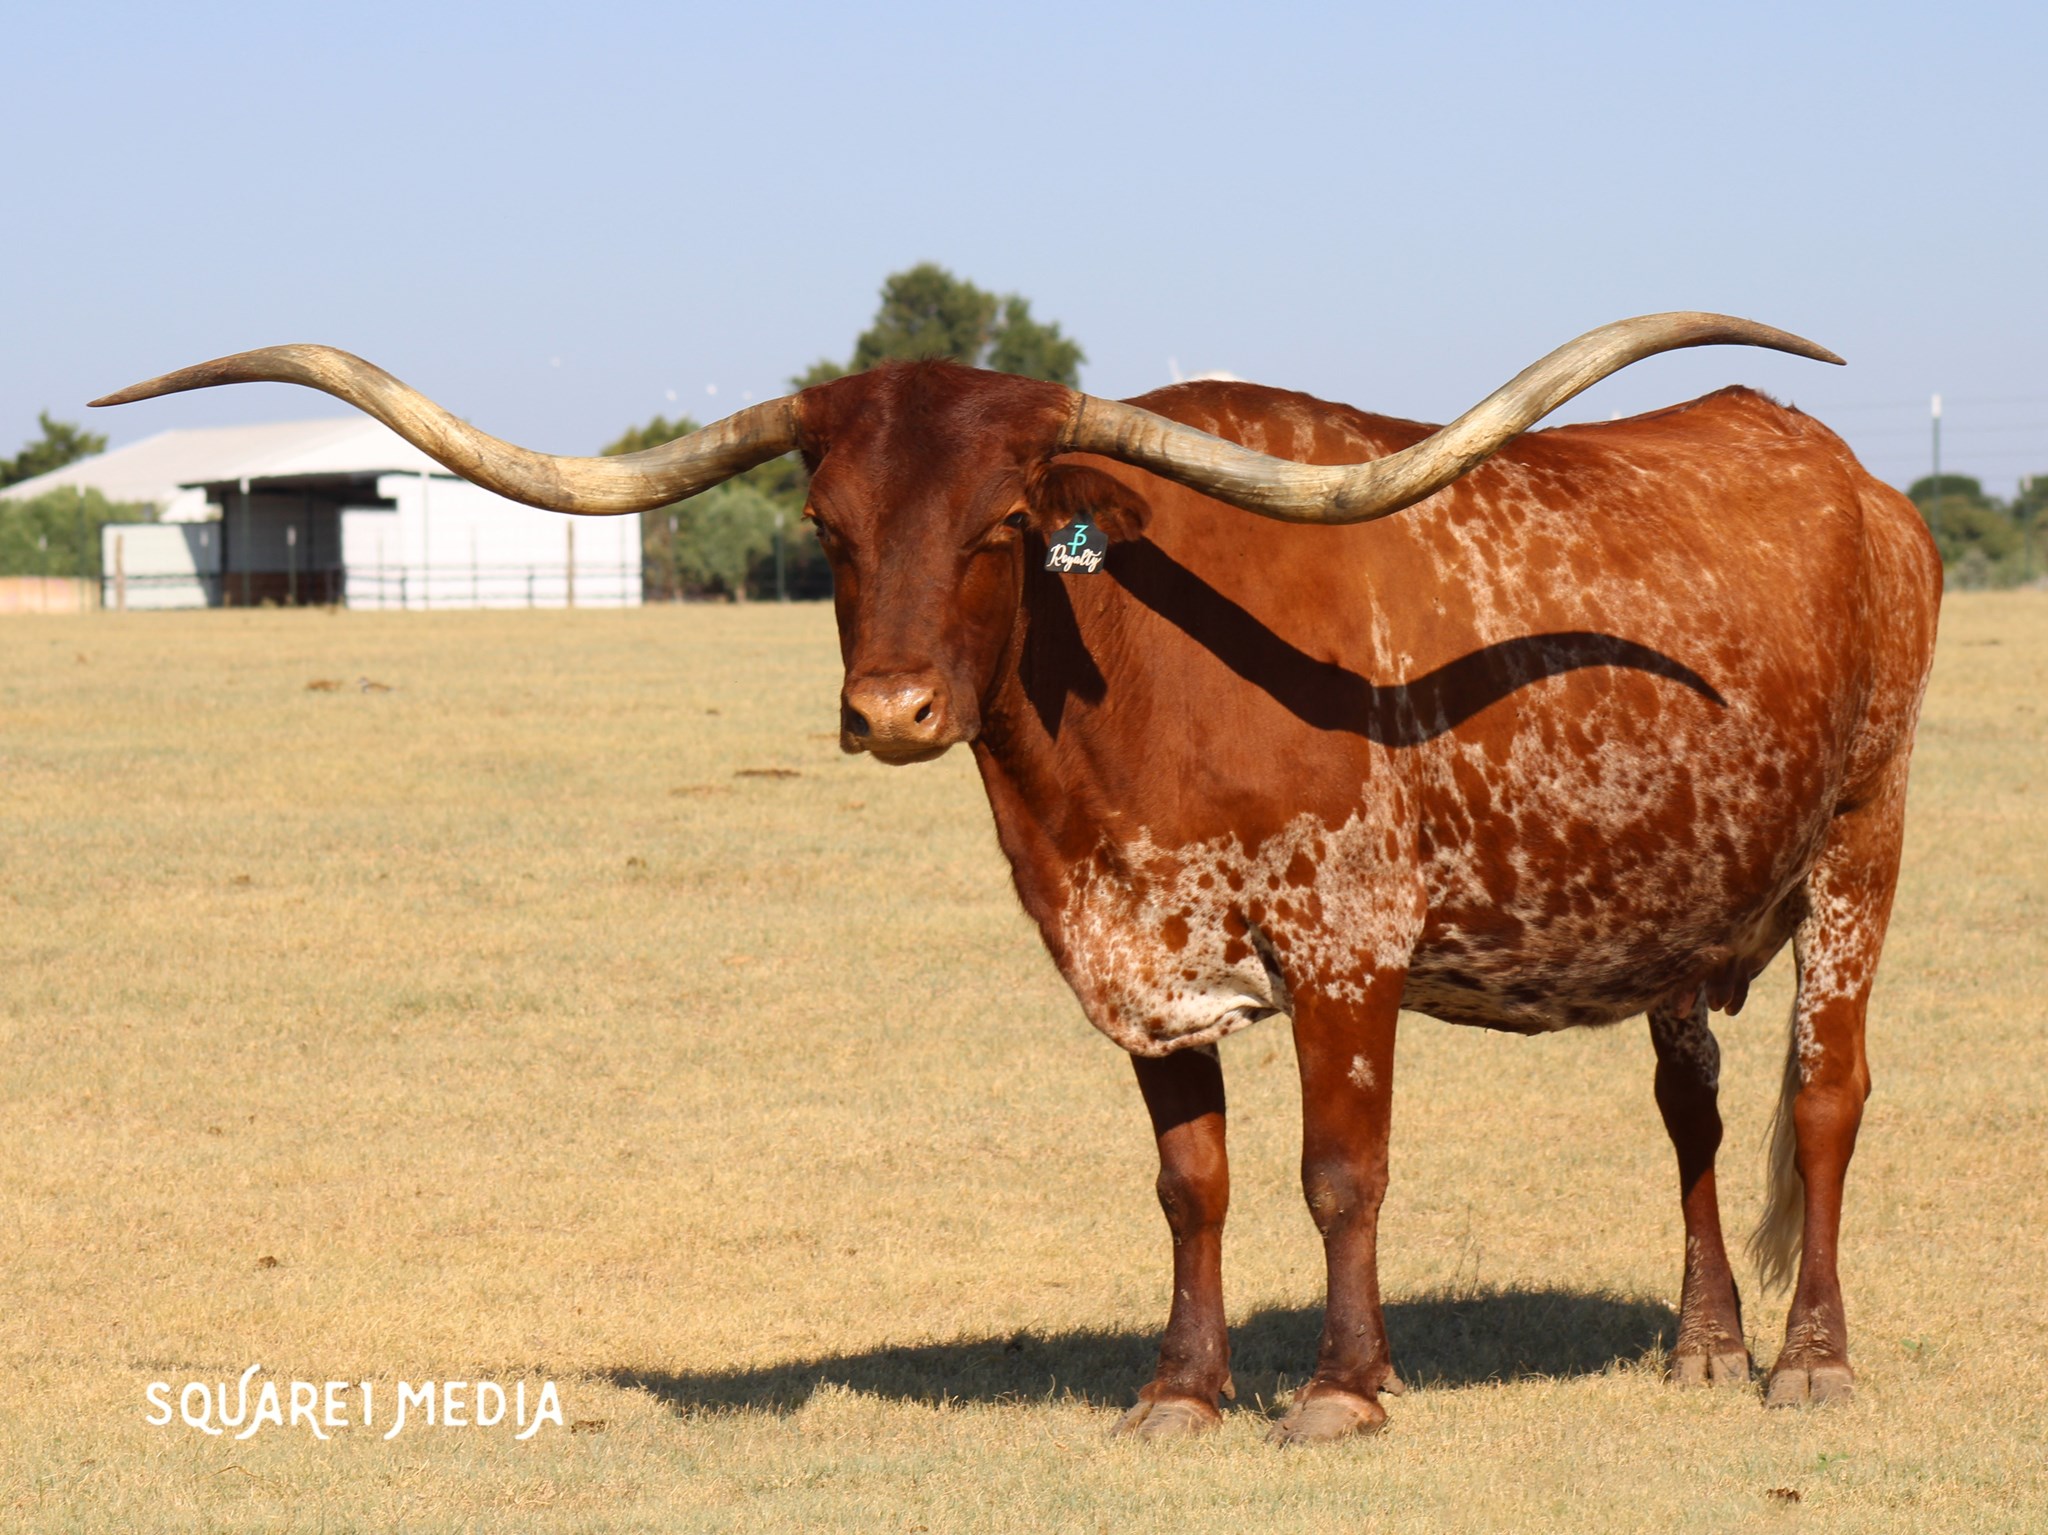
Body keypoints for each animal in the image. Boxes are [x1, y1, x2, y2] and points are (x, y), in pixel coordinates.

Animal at [95, 313, 1941, 1443]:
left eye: (999, 519)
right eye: (826, 526)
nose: (891, 712)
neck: (1131, 658)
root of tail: (1855, 477)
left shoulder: (1343, 939)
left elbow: (1338, 1173)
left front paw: (1341, 1393)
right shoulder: (1141, 954)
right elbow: (1192, 1184)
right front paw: (1179, 1395)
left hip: (1860, 840)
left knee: (1823, 1094)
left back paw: (1811, 1365)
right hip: (1674, 914)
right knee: (1694, 1106)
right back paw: (1703, 1344)